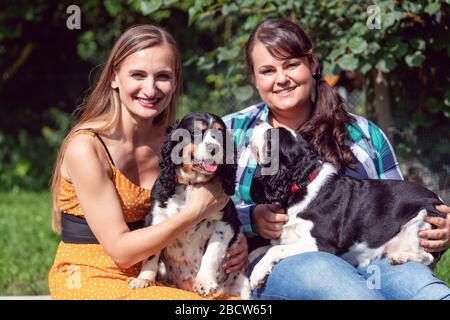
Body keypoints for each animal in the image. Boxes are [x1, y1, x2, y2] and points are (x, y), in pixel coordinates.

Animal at [128, 113, 251, 300]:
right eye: (196, 132)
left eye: (220, 133)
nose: (214, 148)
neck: (191, 185)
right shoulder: (156, 217)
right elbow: (151, 253)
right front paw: (144, 279)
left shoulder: (225, 224)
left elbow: (212, 253)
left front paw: (204, 282)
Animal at [248, 122, 444, 288]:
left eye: (270, 136)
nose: (258, 122)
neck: (302, 183)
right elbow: (261, 250)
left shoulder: (320, 245)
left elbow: (275, 249)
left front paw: (257, 275)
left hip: (422, 219)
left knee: (427, 257)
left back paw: (400, 257)